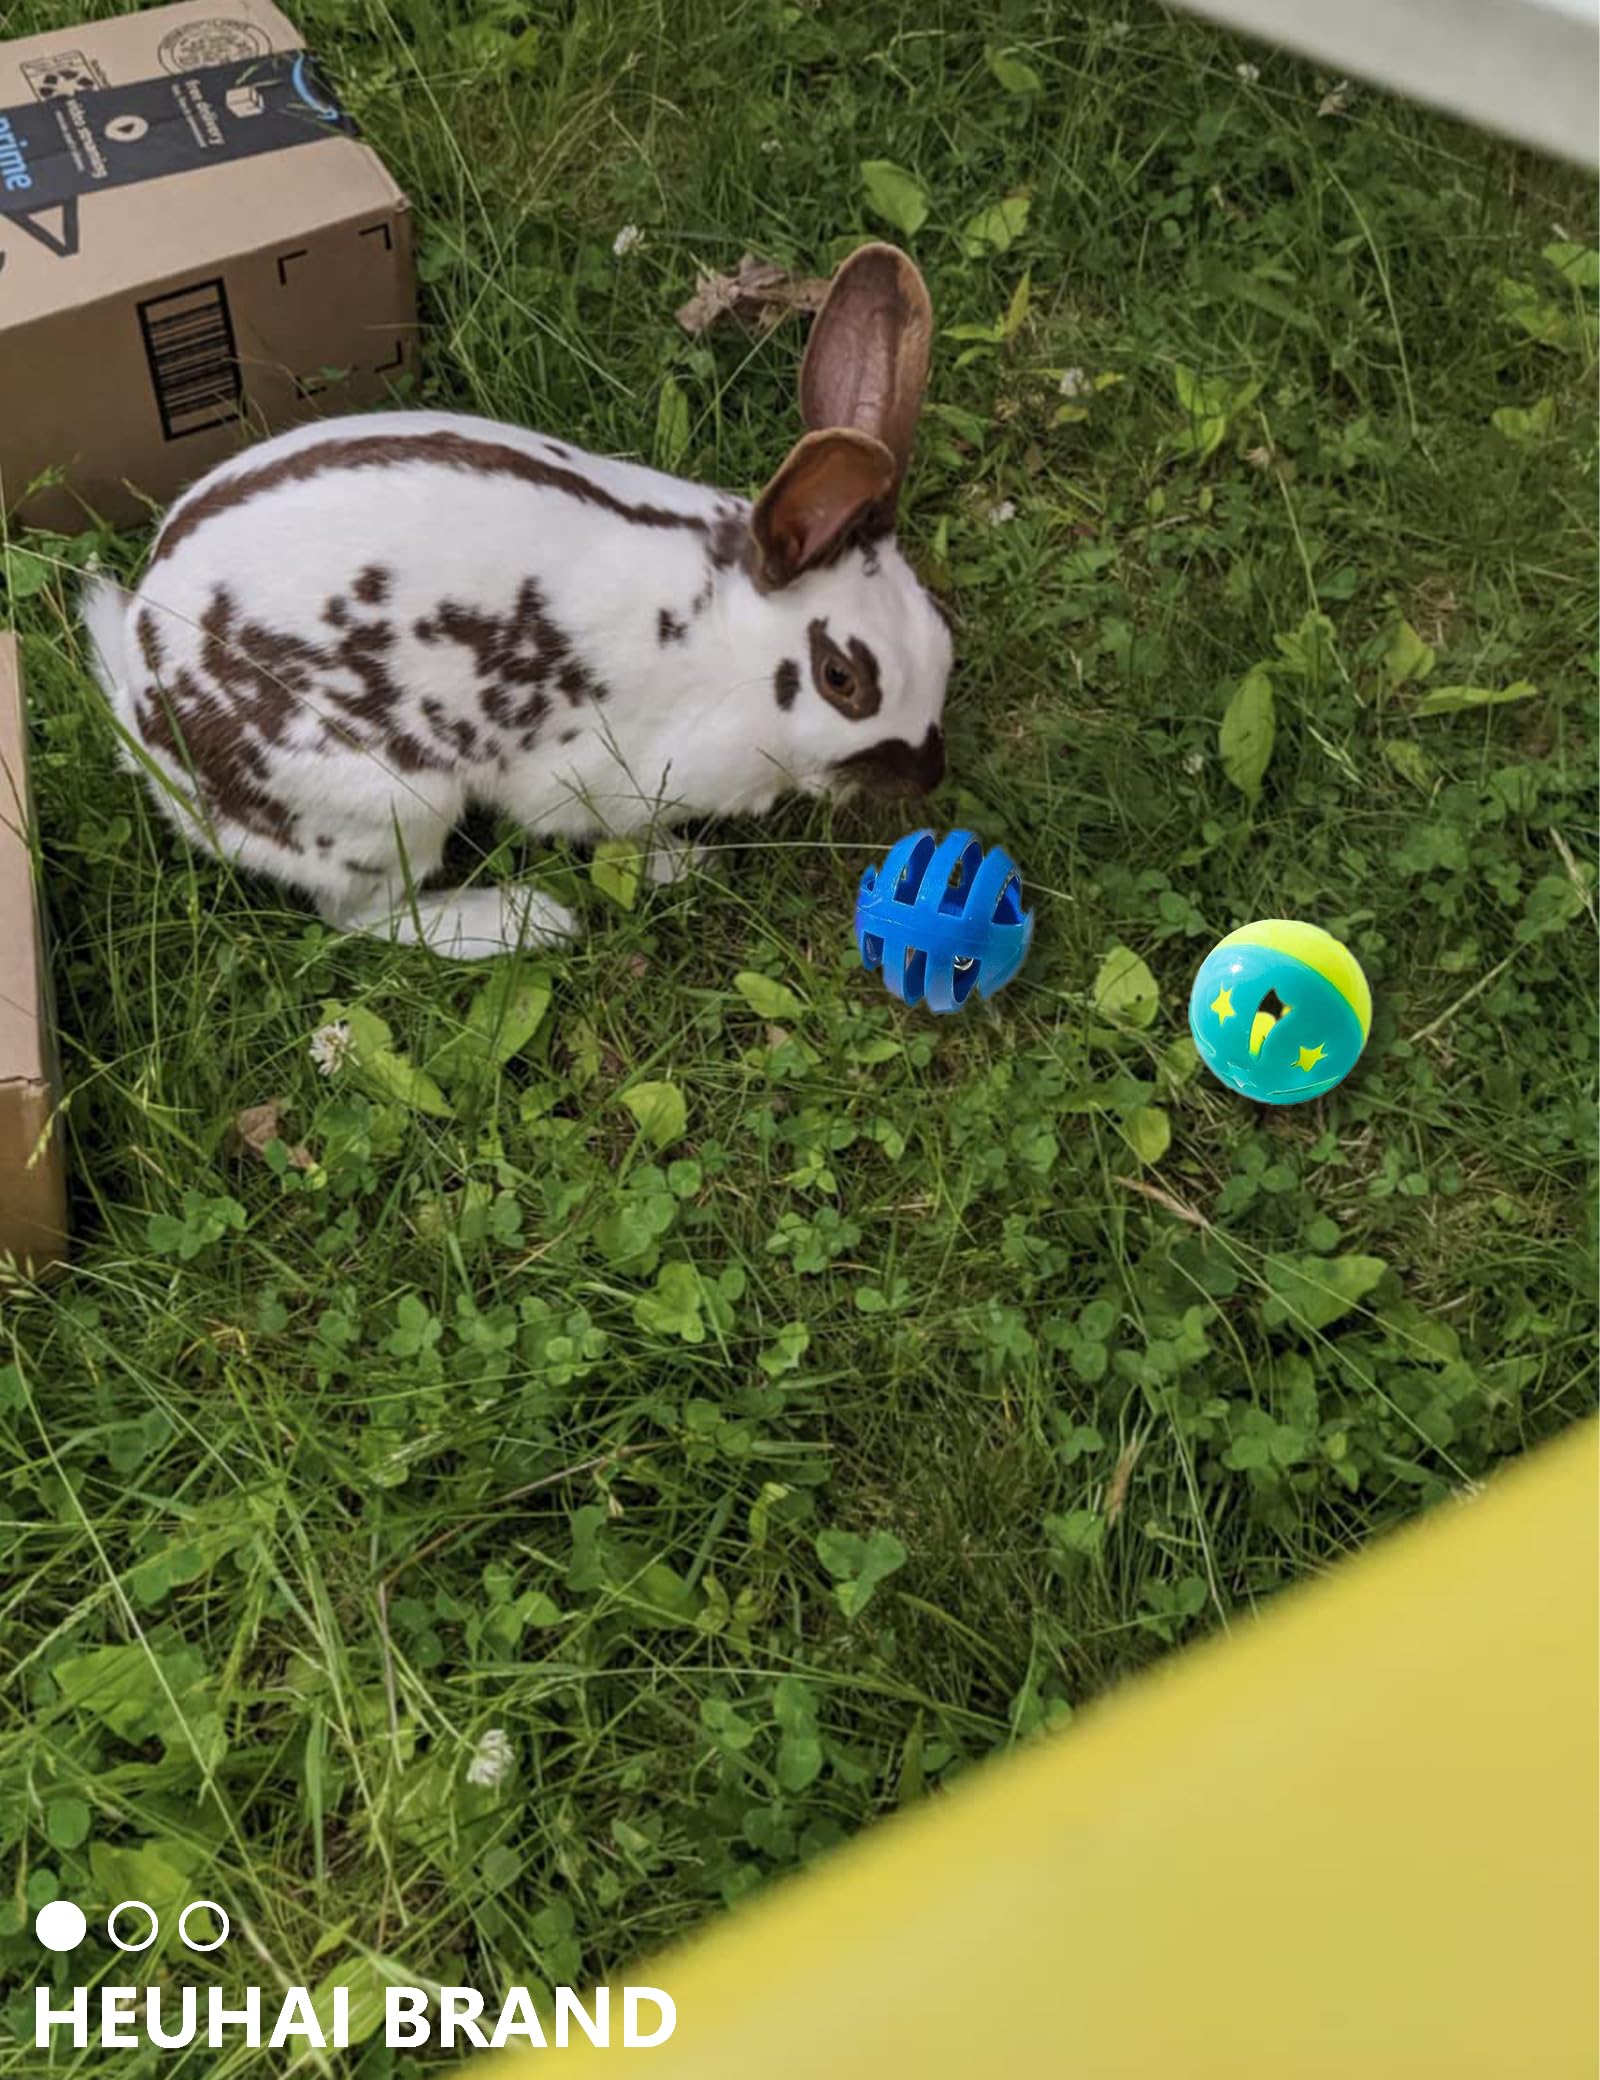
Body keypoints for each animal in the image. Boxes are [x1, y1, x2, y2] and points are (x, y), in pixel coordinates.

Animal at [82, 242, 952, 960]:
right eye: (842, 678)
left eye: (942, 633)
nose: (927, 776)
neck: (725, 643)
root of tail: (145, 711)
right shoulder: (606, 784)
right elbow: (624, 836)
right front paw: (682, 866)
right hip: (390, 804)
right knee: (363, 916)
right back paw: (525, 921)